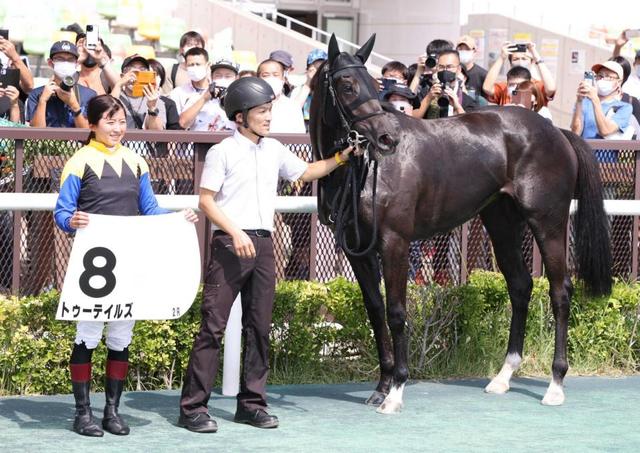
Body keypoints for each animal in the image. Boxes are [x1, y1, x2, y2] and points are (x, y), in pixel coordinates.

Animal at [308, 33, 608, 412]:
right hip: (501, 223)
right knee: (520, 286)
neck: (365, 169)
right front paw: (382, 384)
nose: (387, 138)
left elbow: (396, 312)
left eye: (374, 84)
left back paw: (555, 383)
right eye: (347, 85)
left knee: (560, 291)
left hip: (548, 222)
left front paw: (396, 390)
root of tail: (556, 131)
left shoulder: (395, 242)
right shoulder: (357, 249)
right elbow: (375, 310)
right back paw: (503, 377)